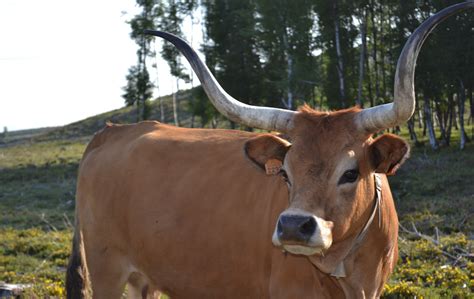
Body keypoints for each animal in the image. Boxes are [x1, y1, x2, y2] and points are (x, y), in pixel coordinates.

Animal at [66, 2, 474, 299]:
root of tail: (113, 131)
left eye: (350, 172)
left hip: (144, 277)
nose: (294, 226)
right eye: (285, 173)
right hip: (106, 269)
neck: (348, 273)